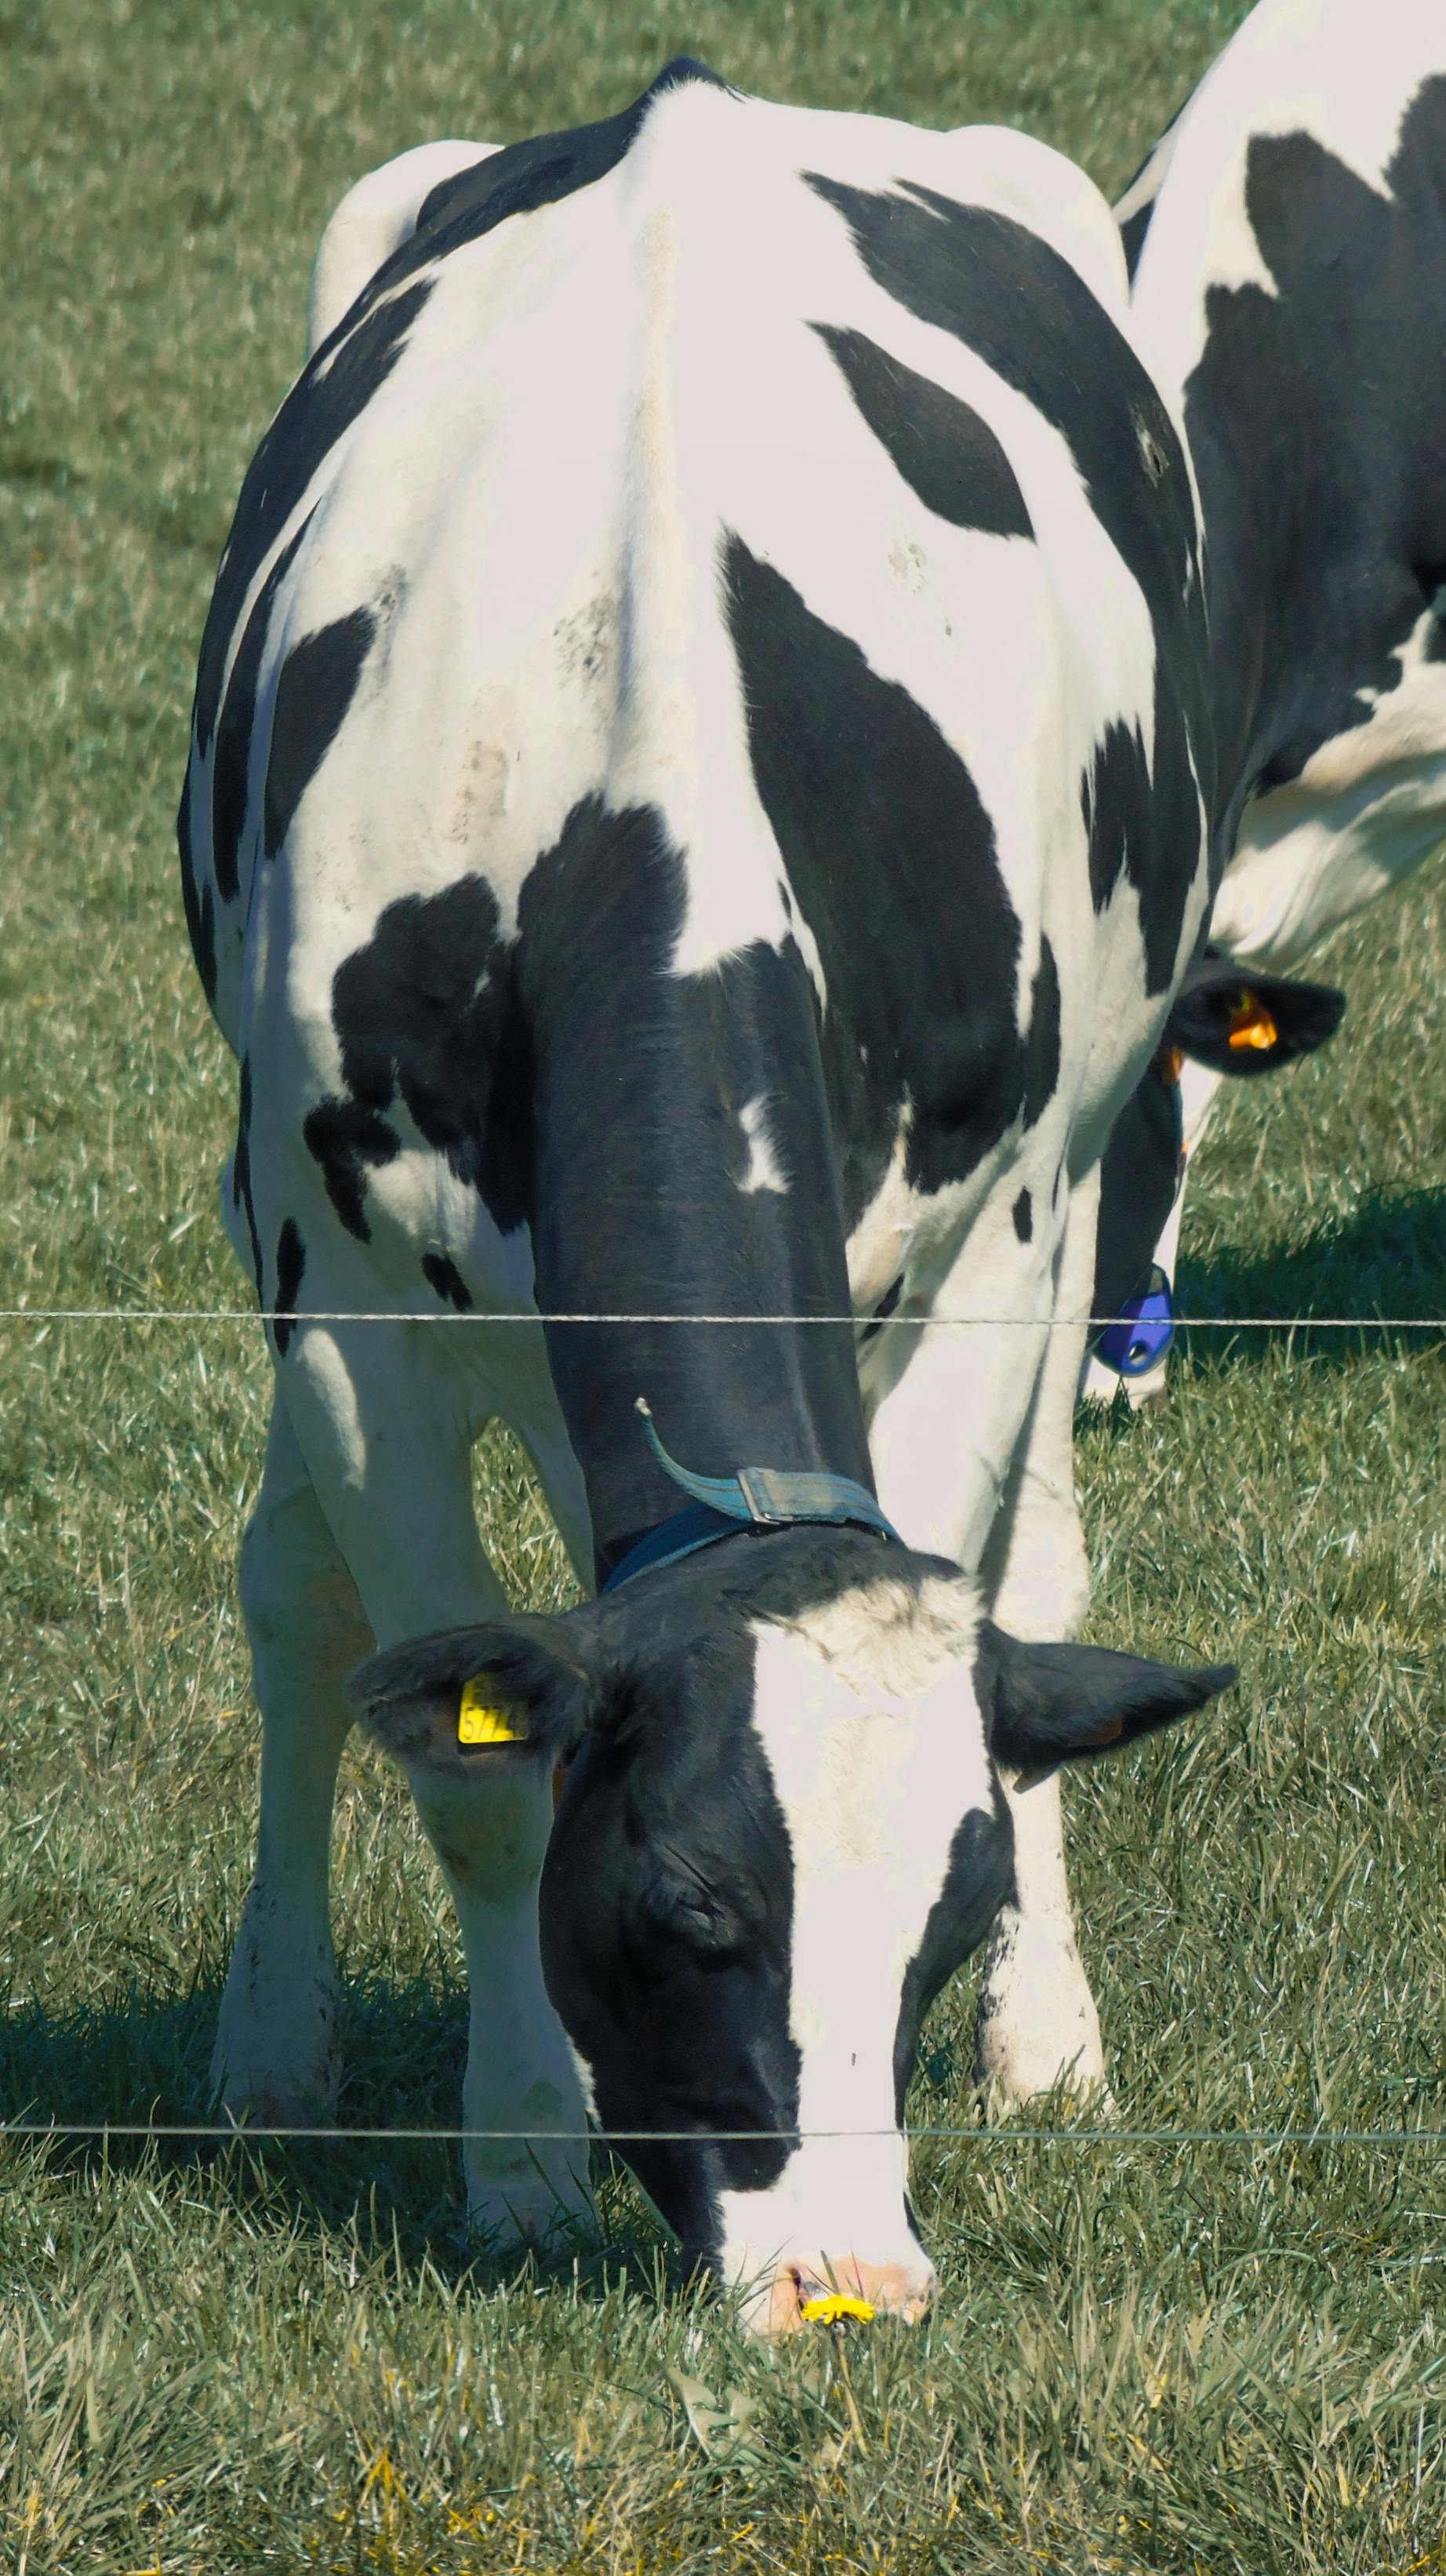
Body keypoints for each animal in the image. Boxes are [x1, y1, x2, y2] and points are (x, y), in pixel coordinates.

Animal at [182, 60, 1240, 2328]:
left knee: (1040, 1578)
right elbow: (468, 1752)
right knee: (297, 1602)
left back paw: (1058, 2043)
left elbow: (977, 1593)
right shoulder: (343, 1293)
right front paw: (517, 2161)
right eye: (684, 1905)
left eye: (939, 1916)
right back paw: (270, 2041)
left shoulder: (986, 1246)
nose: (842, 2280)